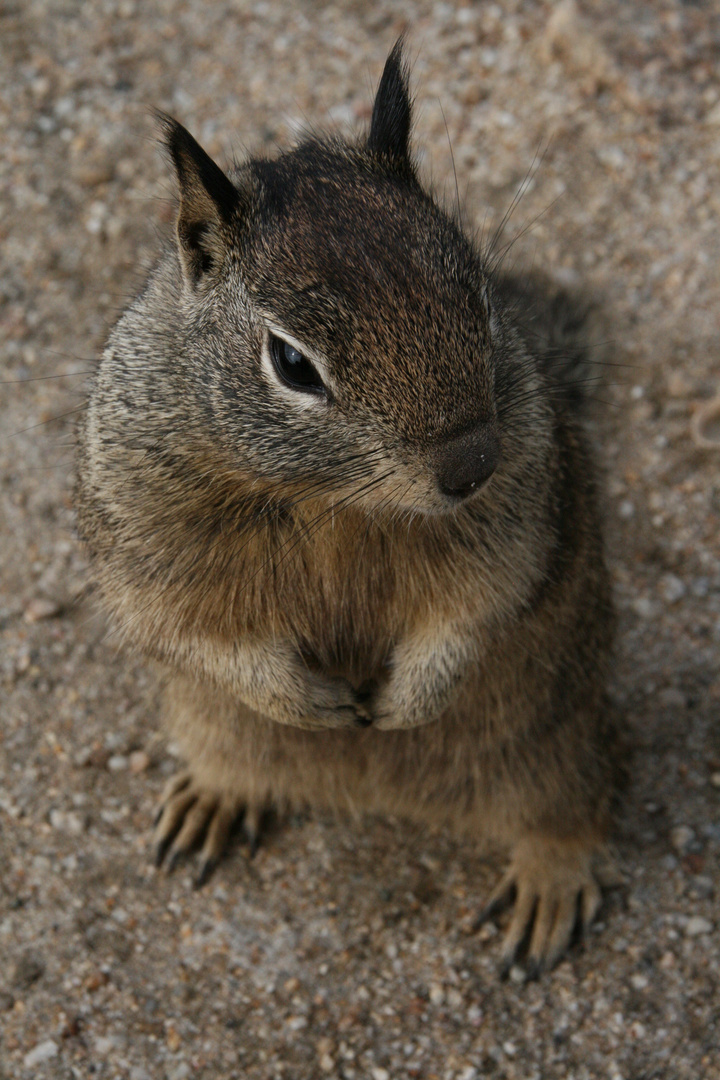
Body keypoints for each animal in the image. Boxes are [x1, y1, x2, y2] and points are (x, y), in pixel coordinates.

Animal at [76, 42, 621, 976]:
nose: (472, 465)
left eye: (478, 293)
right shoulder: (142, 531)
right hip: (208, 724)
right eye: (293, 364)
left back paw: (549, 885)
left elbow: (478, 608)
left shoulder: (515, 515)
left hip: (558, 741)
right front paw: (315, 704)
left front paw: (403, 703)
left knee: (573, 814)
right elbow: (191, 631)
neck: (330, 501)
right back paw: (215, 800)